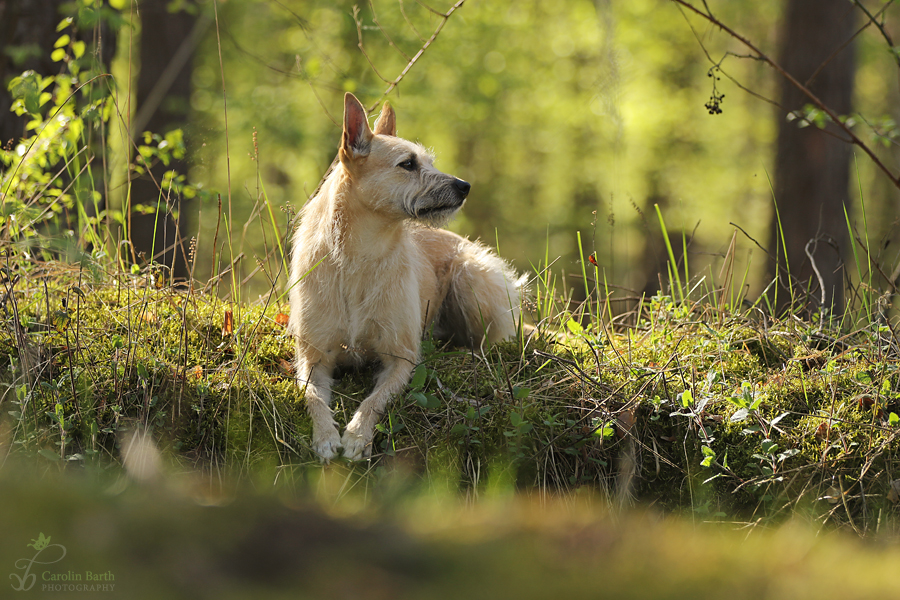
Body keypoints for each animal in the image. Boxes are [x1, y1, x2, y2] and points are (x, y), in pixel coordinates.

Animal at [288, 94, 528, 462]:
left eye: (427, 161)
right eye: (408, 164)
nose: (465, 186)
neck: (359, 258)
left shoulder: (400, 360)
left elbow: (374, 401)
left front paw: (357, 436)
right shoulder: (313, 359)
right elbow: (312, 397)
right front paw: (326, 436)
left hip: (471, 278)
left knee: (489, 341)